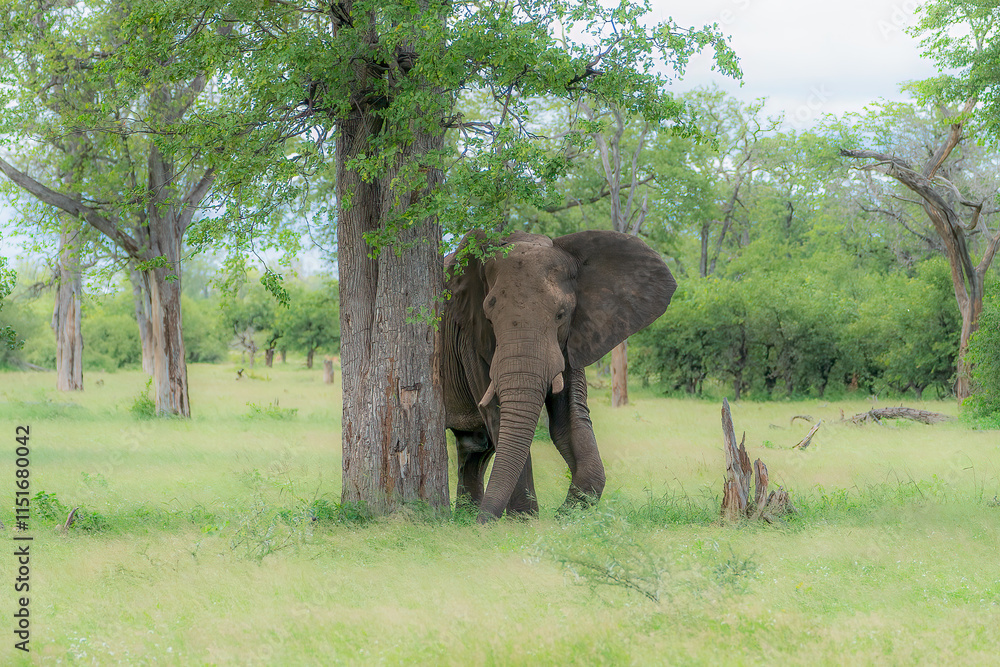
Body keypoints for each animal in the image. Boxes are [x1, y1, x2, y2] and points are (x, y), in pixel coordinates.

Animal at [442, 229, 676, 522]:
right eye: (489, 317)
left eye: (561, 315)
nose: (482, 524)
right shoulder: (470, 338)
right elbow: (498, 415)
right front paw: (525, 520)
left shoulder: (575, 335)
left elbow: (568, 420)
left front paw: (564, 516)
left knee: (474, 446)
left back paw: (465, 514)